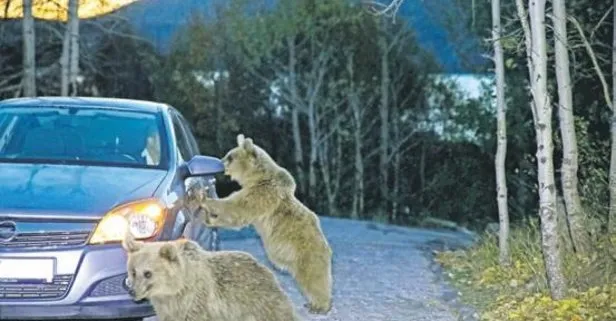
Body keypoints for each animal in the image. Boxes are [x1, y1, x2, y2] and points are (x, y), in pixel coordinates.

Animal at [122, 232, 300, 320]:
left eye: (148, 273)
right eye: (133, 271)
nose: (132, 291)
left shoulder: (197, 302)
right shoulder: (167, 308)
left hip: (258, 304)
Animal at [195, 132, 334, 312]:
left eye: (230, 156)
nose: (219, 162)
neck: (255, 178)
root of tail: (327, 247)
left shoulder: (261, 194)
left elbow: (236, 208)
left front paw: (204, 200)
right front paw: (209, 216)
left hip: (307, 253)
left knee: (314, 279)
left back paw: (319, 305)